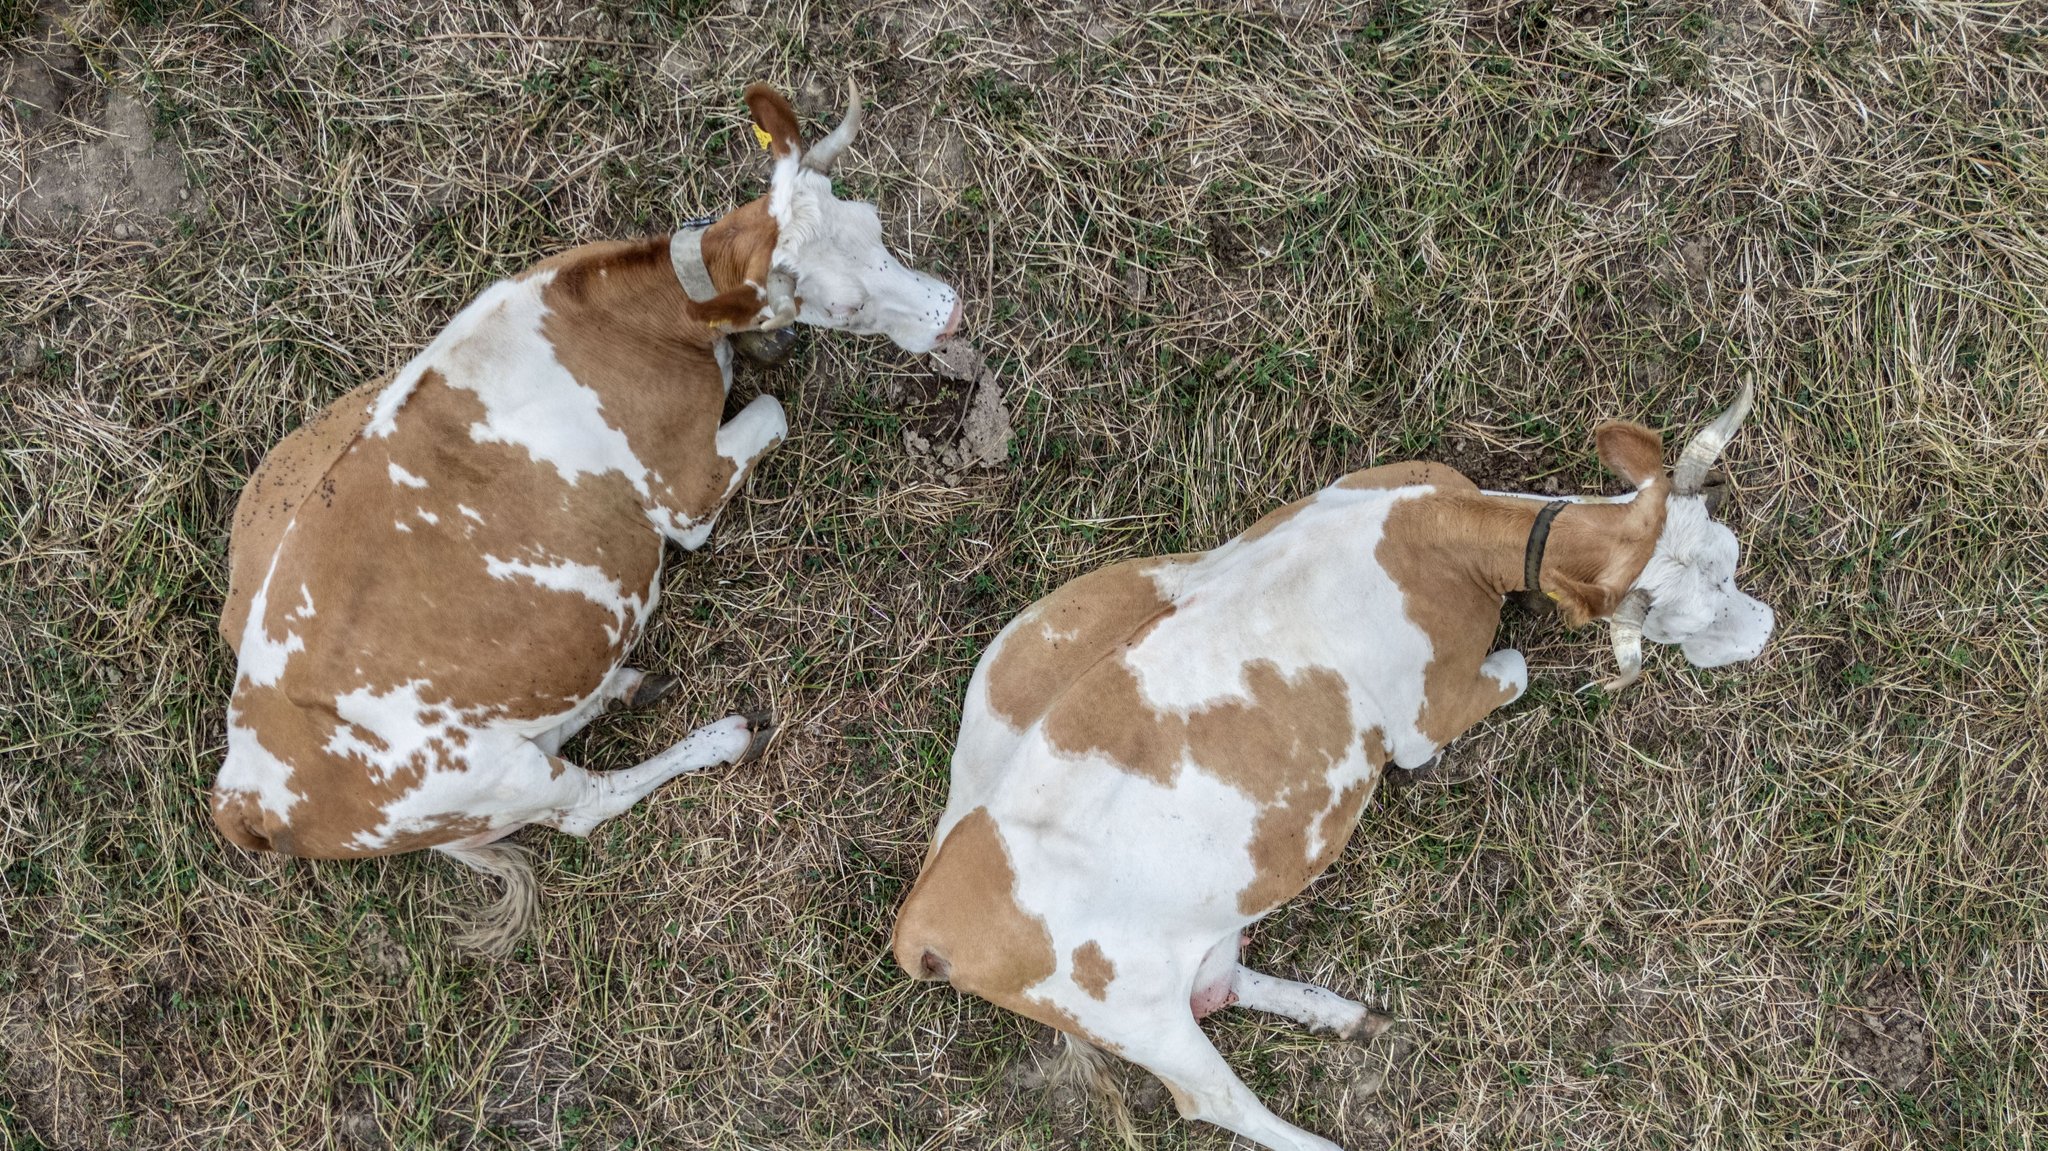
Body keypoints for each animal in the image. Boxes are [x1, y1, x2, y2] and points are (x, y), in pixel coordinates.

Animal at [210, 82, 961, 955]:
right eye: (843, 301)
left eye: (873, 222)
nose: (950, 312)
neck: (645, 315)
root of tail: (242, 795)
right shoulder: (685, 492)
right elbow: (772, 407)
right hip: (489, 778)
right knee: (586, 806)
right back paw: (715, 736)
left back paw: (627, 687)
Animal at [892, 389, 1771, 1151]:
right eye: (1687, 611)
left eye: (1729, 558)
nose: (1763, 628)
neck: (1437, 536)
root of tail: (924, 917)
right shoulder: (1424, 719)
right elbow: (1516, 669)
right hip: (1128, 1009)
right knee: (1213, 1097)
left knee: (1219, 978)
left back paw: (1338, 1014)